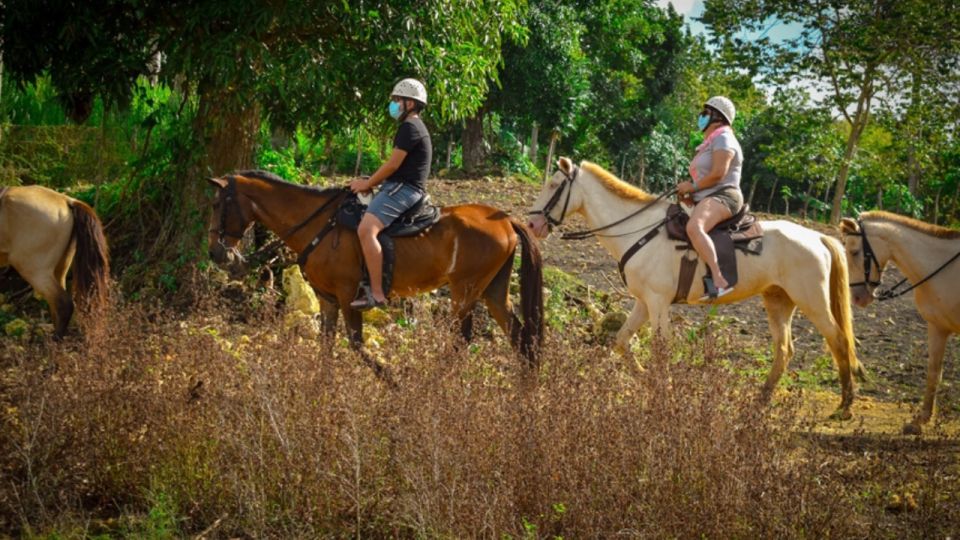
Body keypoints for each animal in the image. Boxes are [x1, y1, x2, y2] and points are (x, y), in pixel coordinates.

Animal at [206, 170, 544, 368]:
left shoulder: (347, 295)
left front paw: (394, 384)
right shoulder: (327, 299)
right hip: (492, 291)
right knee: (520, 338)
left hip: (465, 292)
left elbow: (357, 344)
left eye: (217, 205)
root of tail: (505, 219)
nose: (216, 253)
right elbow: (326, 347)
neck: (320, 224)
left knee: (462, 342)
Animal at [528, 156, 868, 418]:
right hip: (778, 301)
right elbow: (622, 342)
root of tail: (818, 237)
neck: (636, 231)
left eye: (554, 185)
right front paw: (649, 383)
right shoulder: (644, 302)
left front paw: (661, 395)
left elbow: (660, 348)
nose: (531, 224)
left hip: (812, 302)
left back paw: (845, 406)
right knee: (784, 350)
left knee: (839, 341)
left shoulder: (658, 302)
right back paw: (759, 402)